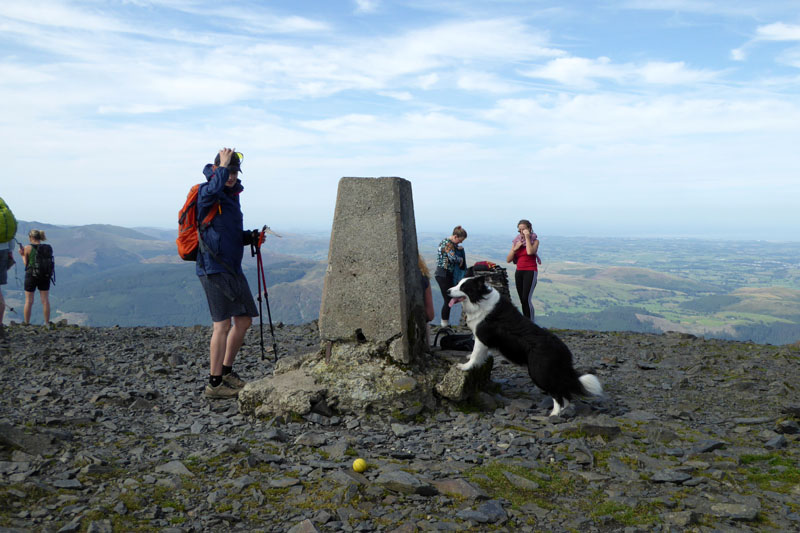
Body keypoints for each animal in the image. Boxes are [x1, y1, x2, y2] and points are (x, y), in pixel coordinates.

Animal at [446, 274, 604, 416]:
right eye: (457, 283)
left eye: (464, 287)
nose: (447, 291)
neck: (479, 300)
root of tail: (564, 352)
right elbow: (480, 354)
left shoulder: (482, 337)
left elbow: (475, 354)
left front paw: (465, 366)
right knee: (565, 392)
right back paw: (563, 410)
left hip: (539, 373)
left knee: (557, 393)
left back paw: (554, 414)